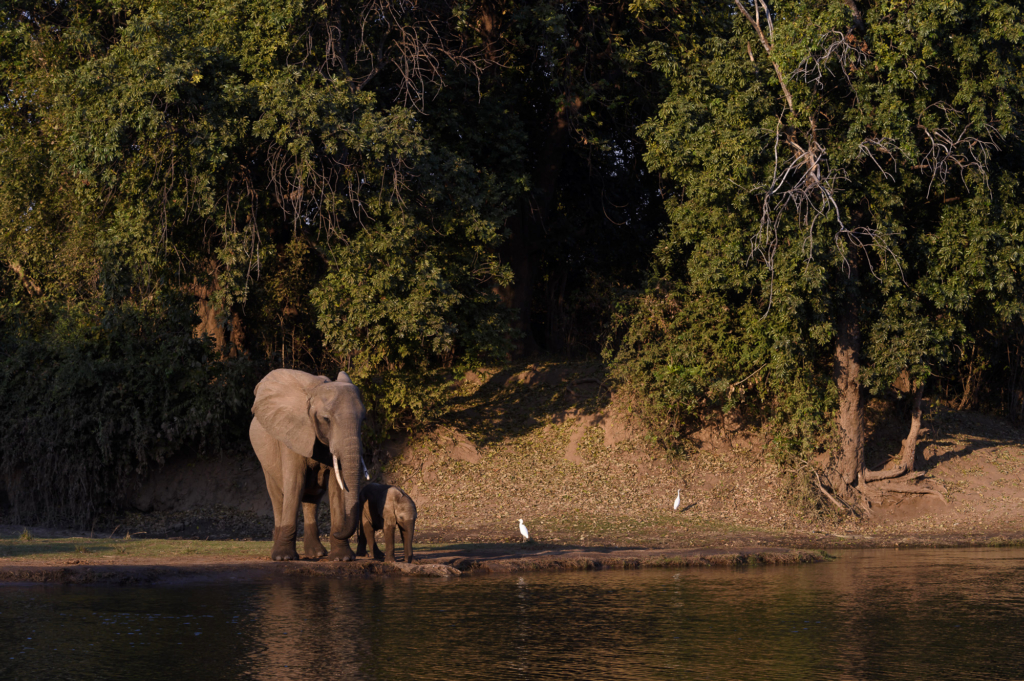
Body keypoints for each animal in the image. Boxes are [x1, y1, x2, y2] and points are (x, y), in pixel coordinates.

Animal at [249, 368, 366, 561]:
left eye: (363, 420)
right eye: (326, 419)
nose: (336, 533)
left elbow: (337, 487)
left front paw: (342, 558)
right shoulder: (290, 435)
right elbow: (295, 483)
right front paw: (284, 558)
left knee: (311, 498)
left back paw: (316, 553)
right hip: (264, 458)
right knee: (278, 496)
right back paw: (278, 552)